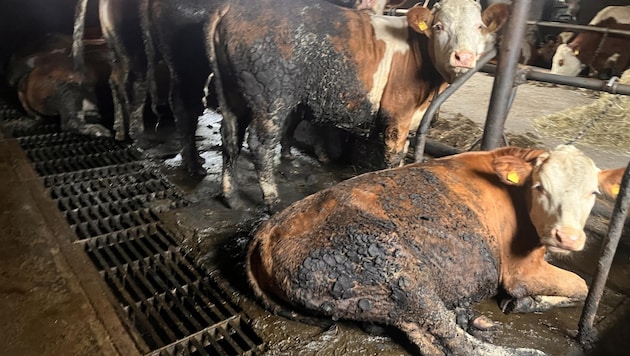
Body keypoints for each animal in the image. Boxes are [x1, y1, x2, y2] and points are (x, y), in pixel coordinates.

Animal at [209, 0, 512, 210]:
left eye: (479, 27)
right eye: (439, 26)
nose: (464, 57)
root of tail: (230, 9)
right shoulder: (398, 114)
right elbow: (394, 155)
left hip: (231, 93)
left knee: (230, 137)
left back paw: (231, 196)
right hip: (272, 97)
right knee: (260, 144)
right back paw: (272, 200)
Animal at [247, 145, 628, 356]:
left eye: (593, 193)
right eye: (540, 187)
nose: (568, 238)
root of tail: (267, 229)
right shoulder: (520, 270)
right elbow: (581, 285)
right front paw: (526, 302)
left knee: (424, 334)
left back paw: (468, 316)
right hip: (395, 270)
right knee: (453, 342)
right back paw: (523, 351)